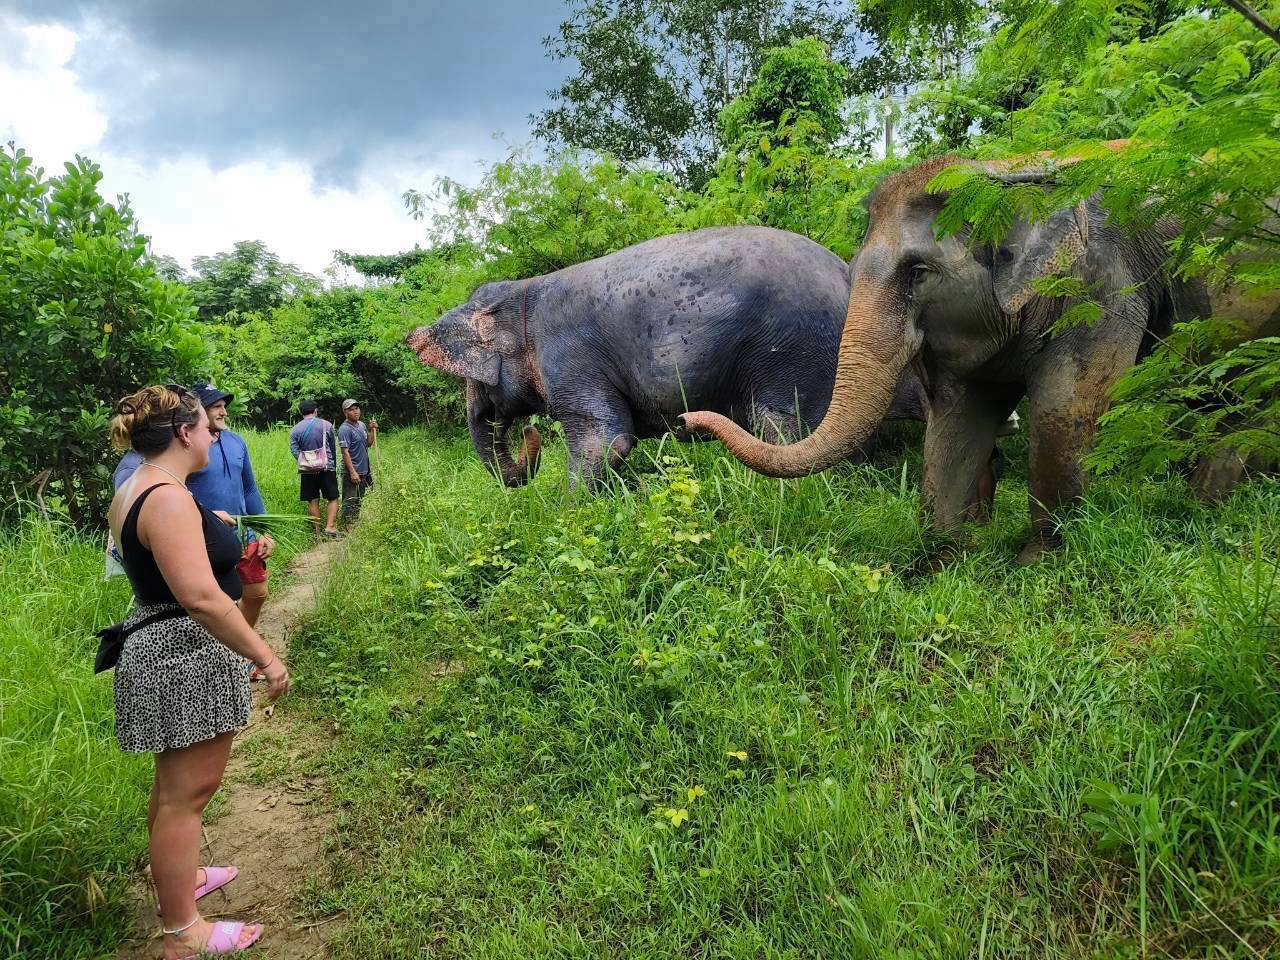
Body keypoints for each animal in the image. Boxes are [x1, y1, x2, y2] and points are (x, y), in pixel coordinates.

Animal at [405, 226, 950, 491]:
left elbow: (606, 440)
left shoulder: (571, 357)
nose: (529, 436)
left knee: (782, 431)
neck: (524, 294)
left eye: (473, 381)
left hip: (795, 351)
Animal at [681, 152, 1214, 563]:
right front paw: (939, 558)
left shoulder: (1104, 288)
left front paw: (1037, 563)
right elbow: (960, 416)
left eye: (918, 273)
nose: (688, 418)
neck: (1004, 170)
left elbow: (1065, 406)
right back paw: (1206, 504)